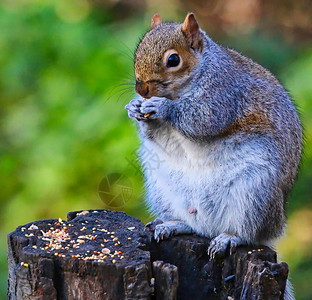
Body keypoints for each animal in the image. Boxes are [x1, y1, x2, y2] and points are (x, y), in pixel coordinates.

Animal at [124, 12, 302, 298]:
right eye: (137, 54)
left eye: (173, 60)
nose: (141, 90)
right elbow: (157, 137)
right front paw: (135, 107)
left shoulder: (223, 94)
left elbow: (204, 121)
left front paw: (163, 108)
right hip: (163, 189)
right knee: (195, 226)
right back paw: (173, 225)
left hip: (255, 192)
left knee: (250, 235)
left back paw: (230, 238)